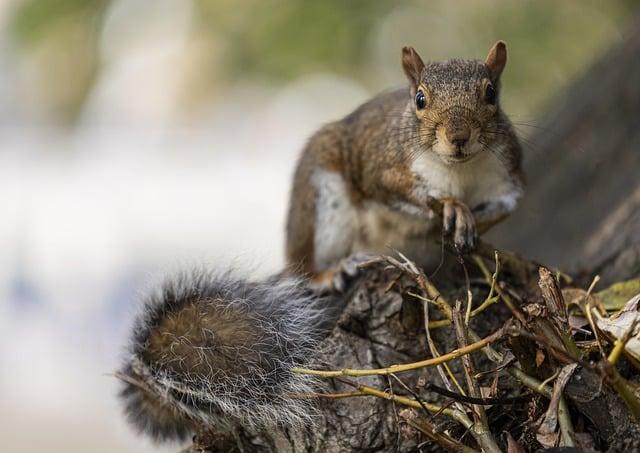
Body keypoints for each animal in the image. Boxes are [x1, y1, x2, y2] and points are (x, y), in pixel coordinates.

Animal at [120, 40, 524, 444]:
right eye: (420, 99)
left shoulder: (507, 178)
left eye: (491, 93)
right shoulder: (383, 168)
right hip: (322, 200)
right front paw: (452, 206)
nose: (458, 137)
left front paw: (473, 223)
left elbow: (503, 207)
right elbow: (410, 193)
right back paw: (331, 273)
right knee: (308, 269)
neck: (459, 171)